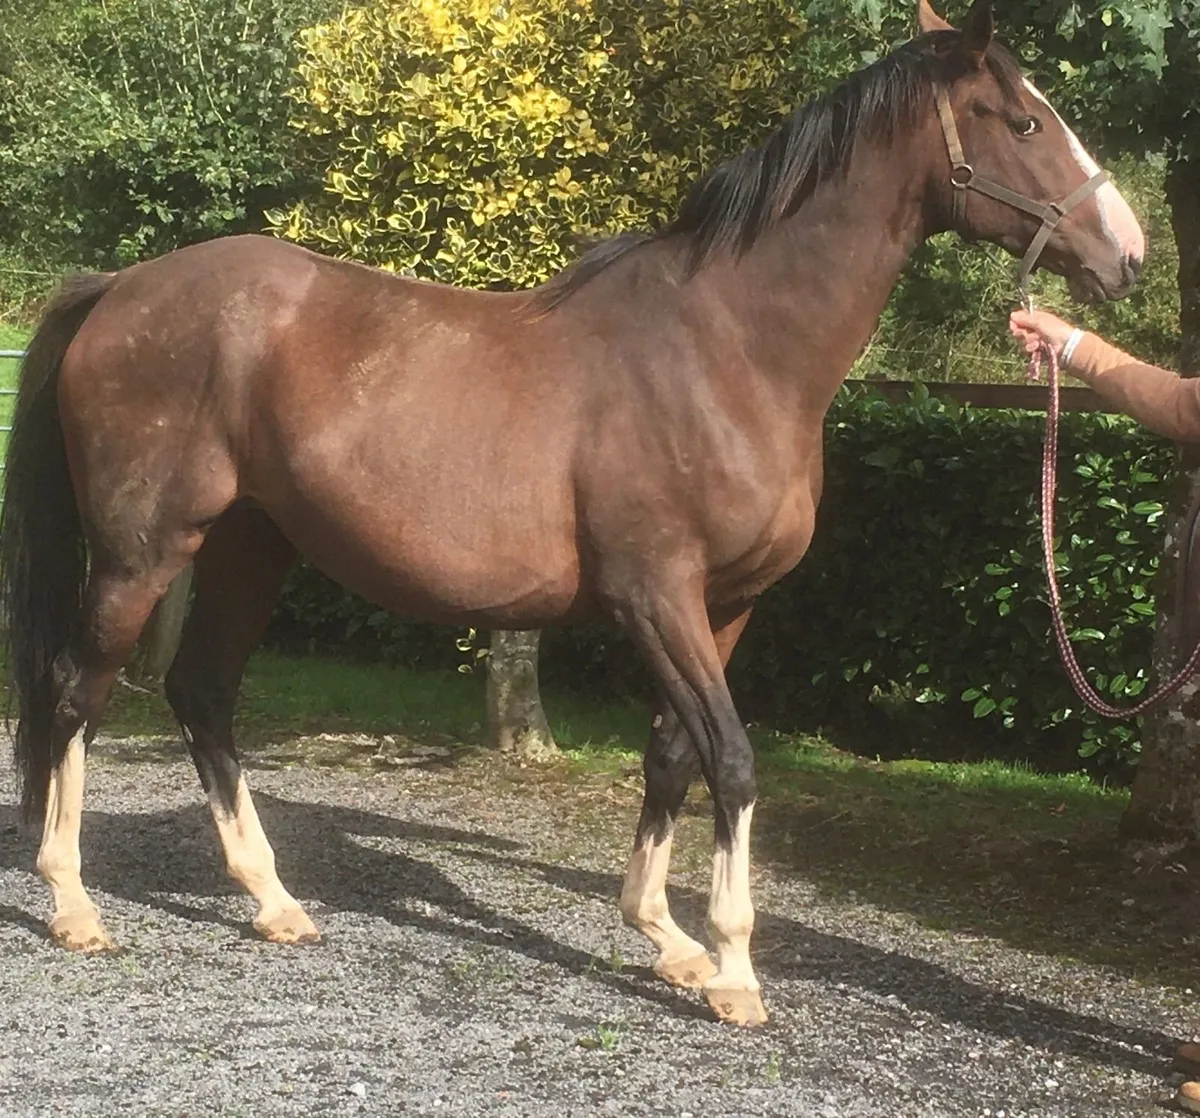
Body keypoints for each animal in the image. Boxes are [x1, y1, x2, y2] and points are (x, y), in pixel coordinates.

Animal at [1, 0, 1144, 1026]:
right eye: (1025, 122)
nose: (1125, 253)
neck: (726, 349)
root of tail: (120, 289)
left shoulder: (726, 606)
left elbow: (674, 755)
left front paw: (668, 939)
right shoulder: (657, 597)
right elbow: (732, 761)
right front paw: (734, 970)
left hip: (249, 549)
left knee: (199, 693)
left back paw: (274, 901)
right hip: (143, 553)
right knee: (71, 693)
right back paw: (74, 904)